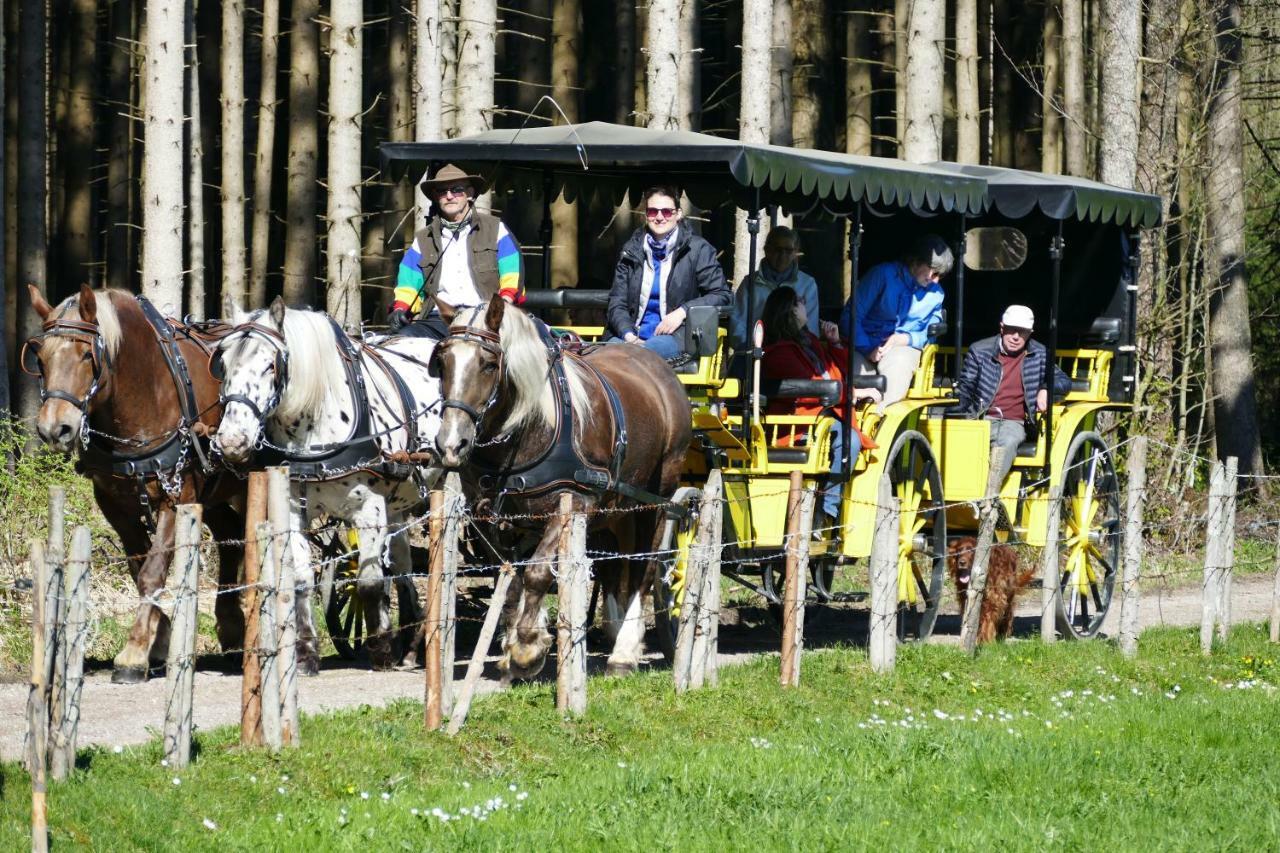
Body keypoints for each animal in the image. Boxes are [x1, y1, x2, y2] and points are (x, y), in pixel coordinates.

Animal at [23, 286, 244, 686]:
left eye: (86, 355)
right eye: (41, 359)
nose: (54, 429)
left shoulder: (177, 495)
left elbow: (153, 571)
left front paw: (135, 652)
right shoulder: (115, 504)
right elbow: (138, 568)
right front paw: (160, 639)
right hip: (214, 491)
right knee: (231, 535)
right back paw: (232, 629)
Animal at [212, 295, 442, 666]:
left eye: (270, 366)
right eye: (223, 363)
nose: (232, 441)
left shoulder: (369, 508)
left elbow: (369, 582)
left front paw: (380, 648)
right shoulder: (293, 508)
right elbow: (302, 578)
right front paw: (306, 651)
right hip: (397, 501)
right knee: (403, 564)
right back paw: (409, 641)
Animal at [432, 294, 696, 676]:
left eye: (488, 364)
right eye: (442, 362)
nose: (452, 443)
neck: (531, 425)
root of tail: (659, 368)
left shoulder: (572, 504)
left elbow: (538, 572)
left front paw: (527, 648)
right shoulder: (492, 518)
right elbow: (509, 581)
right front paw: (516, 648)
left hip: (657, 498)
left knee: (643, 566)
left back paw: (625, 651)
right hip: (615, 508)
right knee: (614, 564)